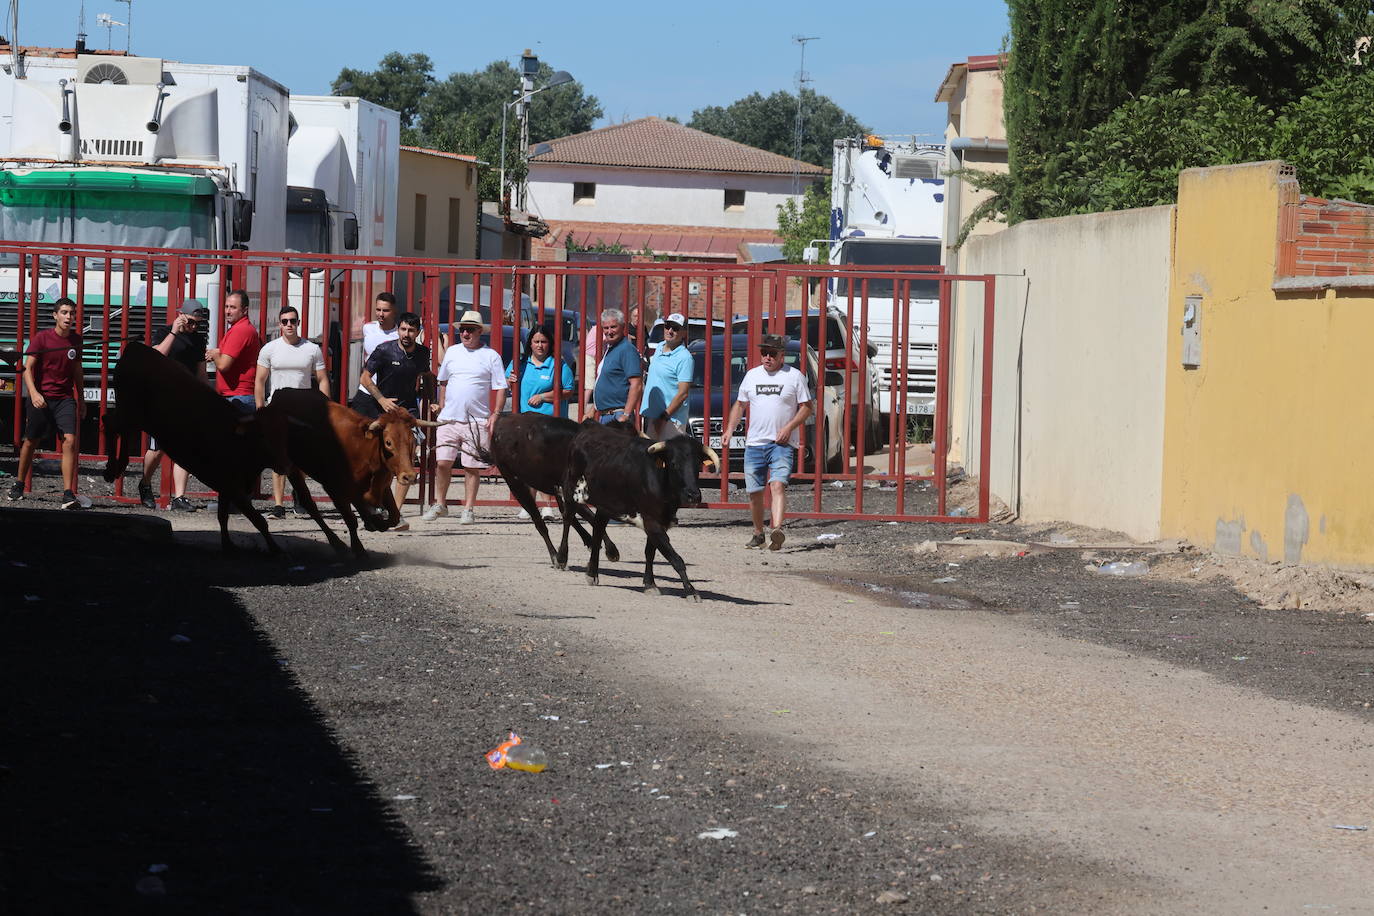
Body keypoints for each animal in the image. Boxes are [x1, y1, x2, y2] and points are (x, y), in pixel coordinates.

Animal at [262, 387, 445, 560]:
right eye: (388, 442)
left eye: (412, 441)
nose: (409, 476)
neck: (366, 451)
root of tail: (280, 395)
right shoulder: (334, 488)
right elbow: (351, 519)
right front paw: (359, 549)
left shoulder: (383, 486)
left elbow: (392, 515)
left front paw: (376, 522)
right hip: (292, 468)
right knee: (310, 504)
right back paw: (337, 543)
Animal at [469, 414, 626, 568]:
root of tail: (502, 421)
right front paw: (563, 556)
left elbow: (585, 514)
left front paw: (610, 549)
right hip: (514, 481)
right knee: (540, 521)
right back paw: (556, 556)